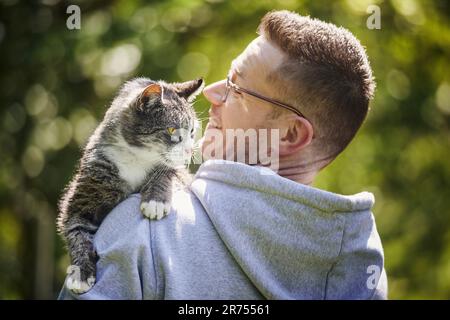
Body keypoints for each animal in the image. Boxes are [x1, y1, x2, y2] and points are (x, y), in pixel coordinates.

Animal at [57, 76, 203, 294]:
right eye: (172, 130)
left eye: (192, 131)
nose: (189, 151)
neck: (136, 158)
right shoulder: (81, 197)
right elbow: (76, 230)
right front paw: (80, 273)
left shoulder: (180, 174)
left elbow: (169, 171)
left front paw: (155, 202)